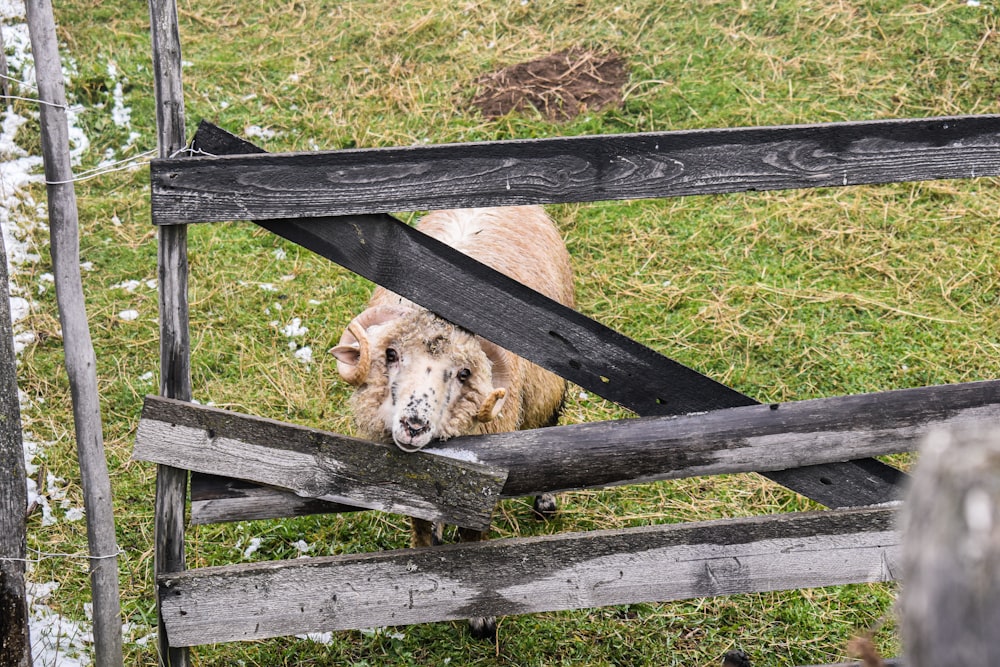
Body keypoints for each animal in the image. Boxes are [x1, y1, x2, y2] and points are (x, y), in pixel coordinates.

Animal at [332, 206, 576, 640]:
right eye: (391, 354)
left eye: (464, 373)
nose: (413, 425)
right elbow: (419, 522)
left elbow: (474, 536)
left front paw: (481, 618)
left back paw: (546, 500)